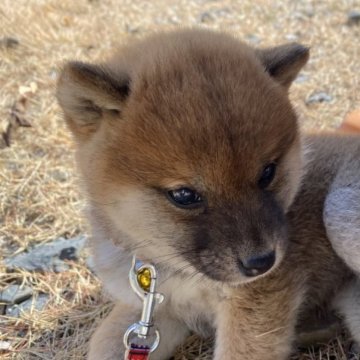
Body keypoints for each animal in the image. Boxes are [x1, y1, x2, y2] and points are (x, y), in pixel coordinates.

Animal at [56, 28, 360, 360]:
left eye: (268, 172)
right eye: (184, 195)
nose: (262, 263)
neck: (172, 269)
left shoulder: (253, 306)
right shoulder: (158, 311)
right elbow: (104, 343)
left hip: (338, 212)